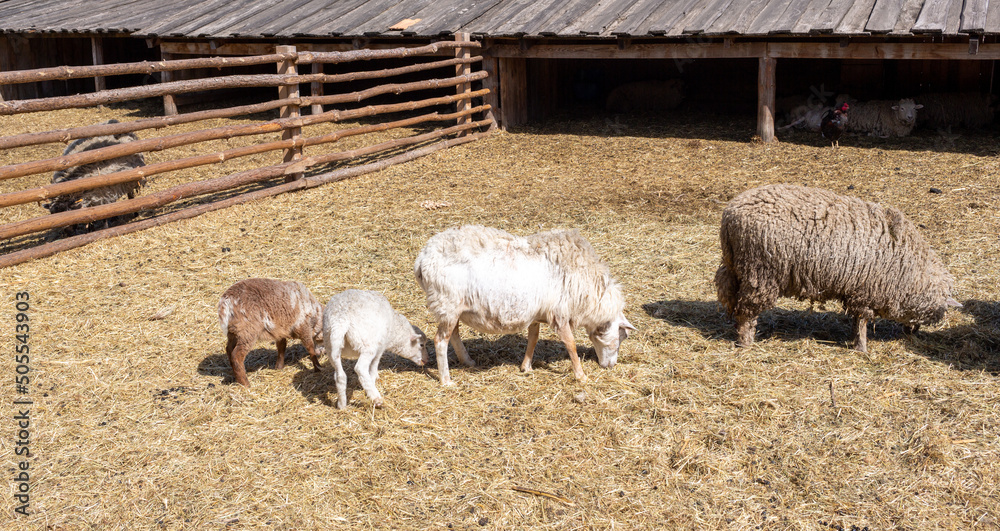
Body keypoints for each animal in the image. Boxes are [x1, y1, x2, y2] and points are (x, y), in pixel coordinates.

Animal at [412, 224, 632, 386]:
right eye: (622, 337)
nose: (610, 366)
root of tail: (423, 258)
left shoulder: (536, 312)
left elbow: (533, 338)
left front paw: (526, 367)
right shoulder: (559, 313)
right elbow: (570, 344)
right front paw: (581, 376)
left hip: (452, 308)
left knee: (454, 335)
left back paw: (467, 361)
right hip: (447, 303)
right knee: (440, 340)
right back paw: (446, 380)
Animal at [712, 184, 960, 354]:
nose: (912, 334)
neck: (908, 271)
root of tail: (730, 215)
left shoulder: (857, 290)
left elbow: (856, 320)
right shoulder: (865, 291)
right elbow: (862, 321)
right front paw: (861, 348)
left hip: (736, 269)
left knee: (730, 298)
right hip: (760, 273)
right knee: (747, 311)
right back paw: (746, 342)